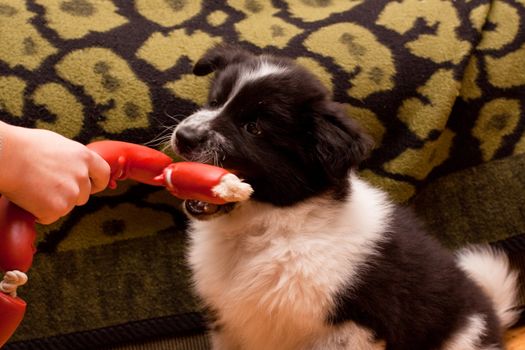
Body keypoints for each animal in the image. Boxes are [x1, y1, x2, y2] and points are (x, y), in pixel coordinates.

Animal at [170, 45, 516, 348]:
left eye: (252, 127)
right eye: (214, 101)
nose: (183, 136)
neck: (269, 230)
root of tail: (492, 318)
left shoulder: (351, 327)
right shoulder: (229, 322)